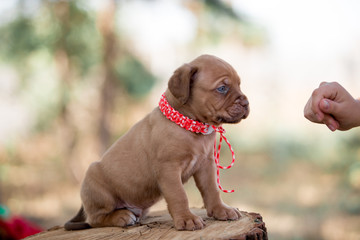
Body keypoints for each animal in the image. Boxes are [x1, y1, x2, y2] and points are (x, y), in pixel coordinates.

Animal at [64, 54, 249, 231]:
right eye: (222, 88)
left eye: (239, 84)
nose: (246, 103)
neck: (191, 126)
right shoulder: (169, 169)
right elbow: (179, 195)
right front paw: (187, 219)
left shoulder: (206, 165)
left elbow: (212, 190)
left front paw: (221, 210)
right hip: (97, 186)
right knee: (95, 219)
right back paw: (121, 216)